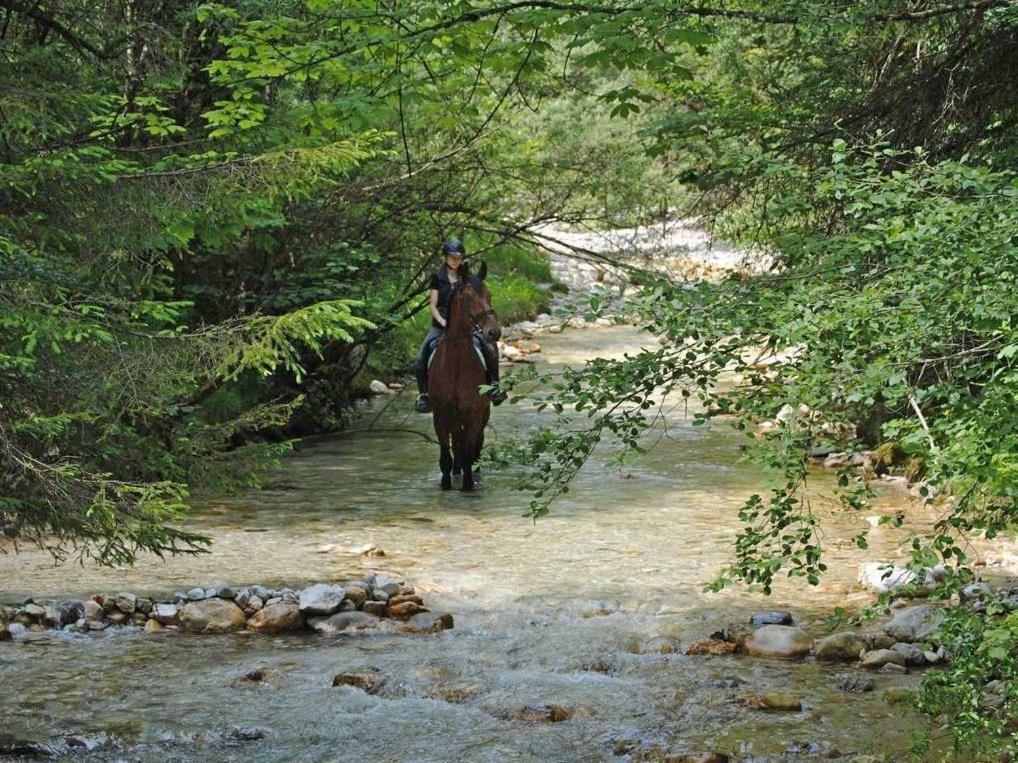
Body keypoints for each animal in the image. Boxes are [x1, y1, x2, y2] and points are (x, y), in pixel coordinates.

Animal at [425, 266, 500, 492]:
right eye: (468, 297)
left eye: (489, 295)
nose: (494, 332)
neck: (456, 363)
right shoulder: (440, 416)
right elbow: (445, 456)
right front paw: (446, 484)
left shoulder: (473, 414)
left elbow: (469, 453)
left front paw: (468, 485)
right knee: (457, 443)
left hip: (481, 414)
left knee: (475, 444)